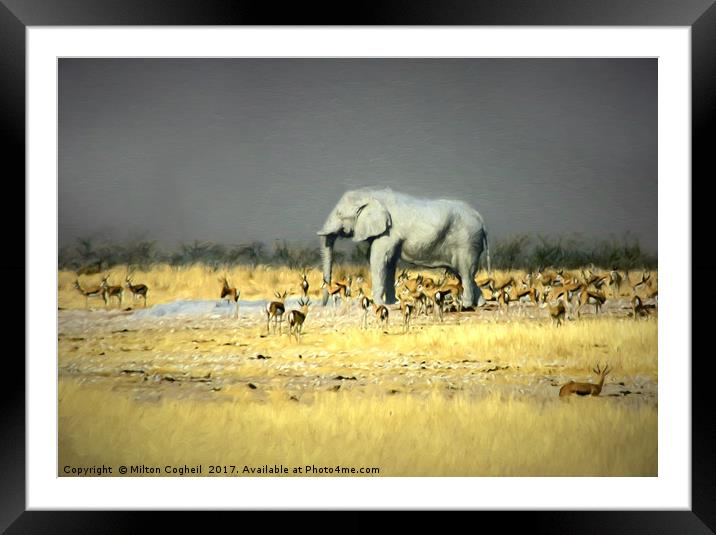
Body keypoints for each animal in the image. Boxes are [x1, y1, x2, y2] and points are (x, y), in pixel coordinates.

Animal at [318, 187, 492, 308]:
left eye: (339, 214)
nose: (322, 305)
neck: (369, 193)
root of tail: (481, 219)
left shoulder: (389, 231)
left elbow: (379, 259)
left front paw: (379, 304)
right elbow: (389, 262)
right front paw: (392, 303)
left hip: (467, 241)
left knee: (465, 271)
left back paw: (466, 305)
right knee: (462, 272)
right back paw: (480, 304)